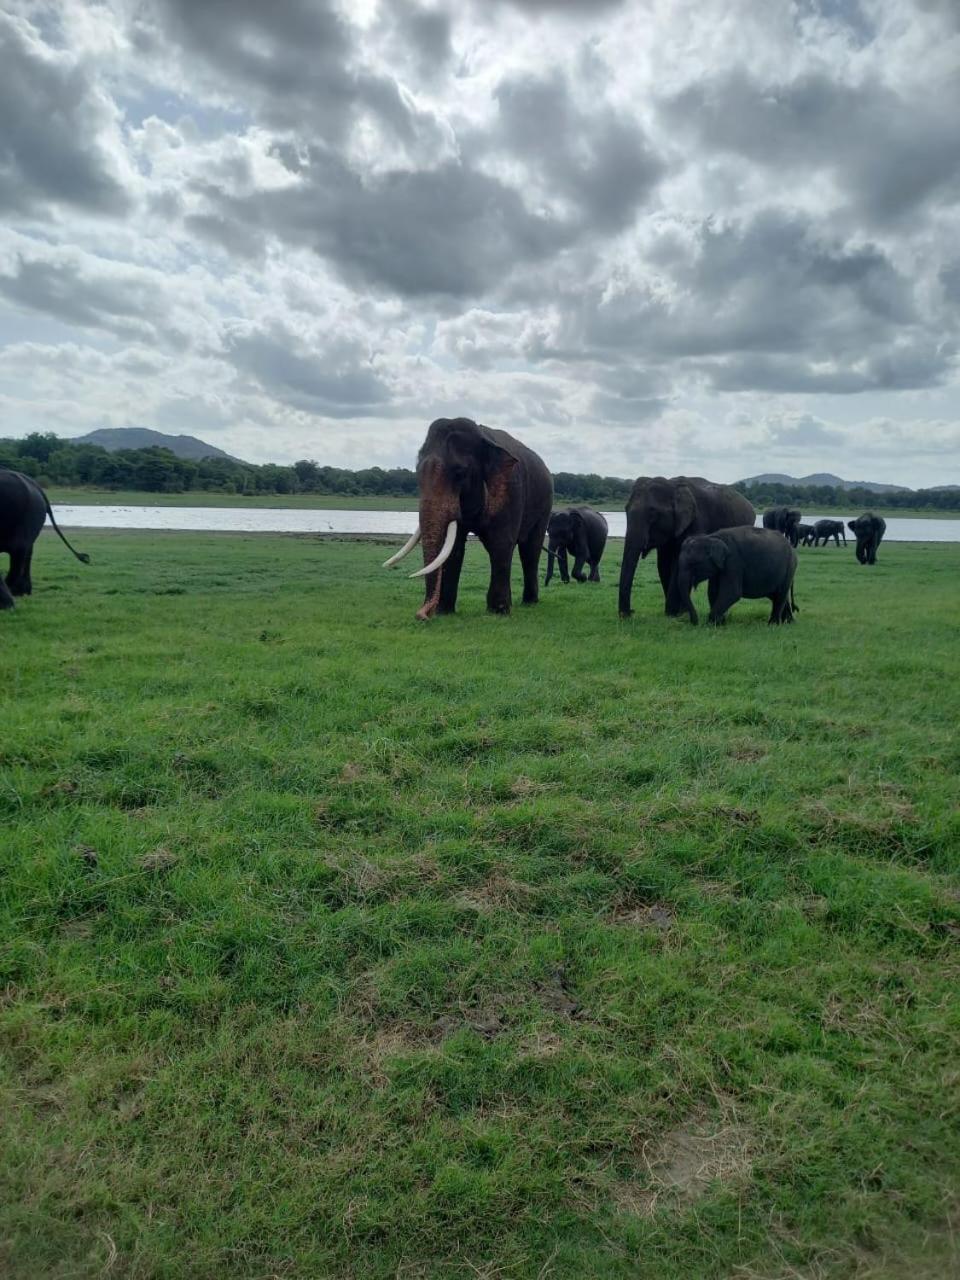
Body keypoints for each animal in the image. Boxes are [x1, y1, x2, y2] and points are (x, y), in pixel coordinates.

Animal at [0, 471, 90, 609]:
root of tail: (36, 486)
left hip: (27, 515)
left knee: (19, 550)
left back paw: (11, 599)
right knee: (27, 551)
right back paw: (20, 594)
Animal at [381, 419, 552, 619]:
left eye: (460, 473)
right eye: (417, 473)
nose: (421, 615)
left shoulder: (510, 490)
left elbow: (501, 543)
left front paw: (499, 611)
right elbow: (454, 549)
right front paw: (444, 612)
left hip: (545, 505)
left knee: (530, 550)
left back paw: (529, 602)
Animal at [619, 481, 762, 619]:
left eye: (652, 512)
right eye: (625, 509)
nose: (630, 613)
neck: (672, 485)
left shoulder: (696, 522)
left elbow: (678, 562)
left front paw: (674, 614)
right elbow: (663, 565)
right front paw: (677, 613)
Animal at [670, 527, 798, 627]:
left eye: (694, 564)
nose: (695, 622)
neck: (712, 537)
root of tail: (791, 547)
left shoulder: (733, 563)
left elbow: (731, 593)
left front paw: (710, 624)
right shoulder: (720, 567)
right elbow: (713, 592)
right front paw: (720, 624)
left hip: (789, 568)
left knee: (780, 595)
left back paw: (773, 625)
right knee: (776, 596)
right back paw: (789, 622)